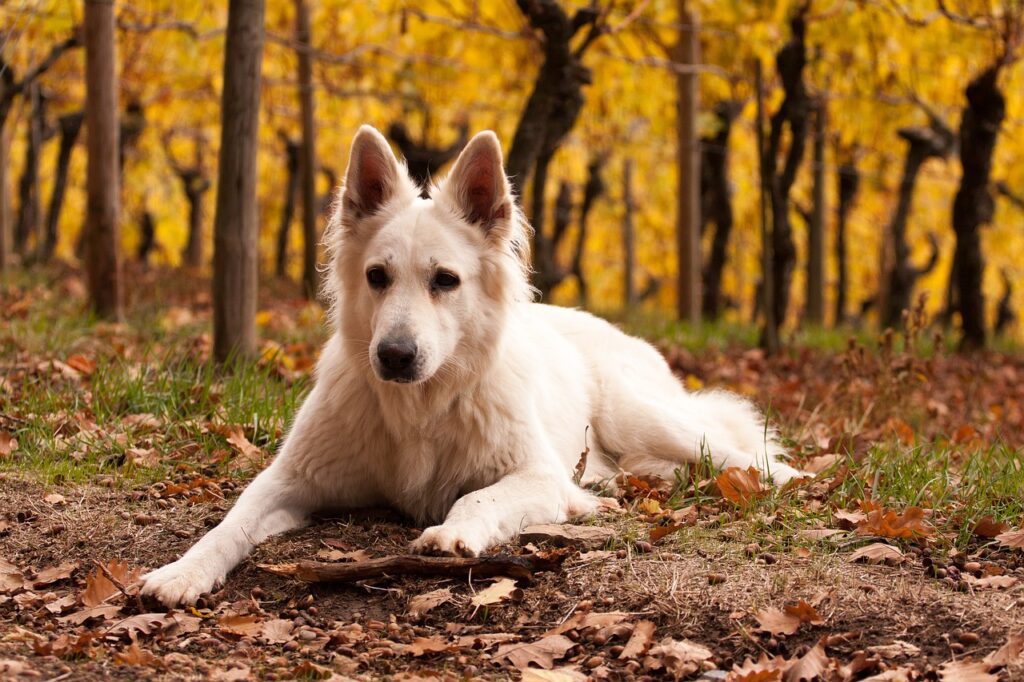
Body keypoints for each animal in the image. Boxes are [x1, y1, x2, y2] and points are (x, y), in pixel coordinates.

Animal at [142, 124, 798, 602]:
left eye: (445, 280)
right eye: (376, 277)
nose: (394, 356)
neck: (421, 405)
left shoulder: (538, 476)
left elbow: (478, 498)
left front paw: (454, 532)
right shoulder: (287, 479)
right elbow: (228, 525)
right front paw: (182, 572)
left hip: (646, 419)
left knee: (746, 455)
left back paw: (794, 482)